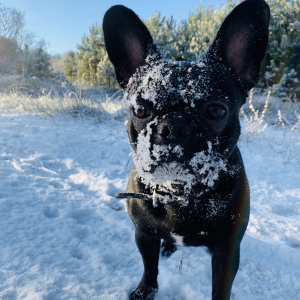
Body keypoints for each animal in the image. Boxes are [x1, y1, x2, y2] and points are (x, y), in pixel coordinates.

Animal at [102, 1, 270, 298]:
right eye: (140, 109)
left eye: (216, 110)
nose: (173, 127)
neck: (180, 191)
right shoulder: (144, 235)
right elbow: (150, 268)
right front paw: (145, 292)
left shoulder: (227, 251)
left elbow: (221, 288)